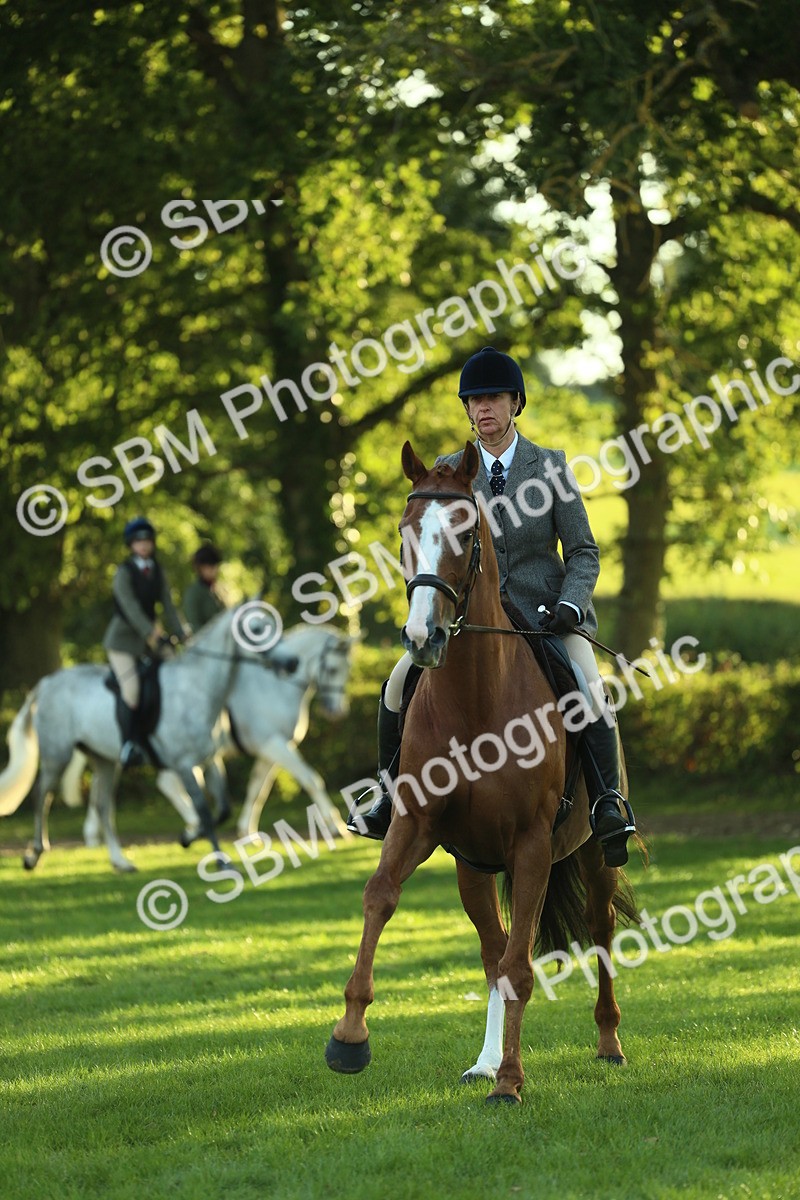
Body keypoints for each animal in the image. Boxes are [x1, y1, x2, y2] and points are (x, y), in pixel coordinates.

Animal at [0, 607, 287, 872]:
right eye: (256, 629)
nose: (289, 663)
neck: (197, 689)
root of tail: (45, 684)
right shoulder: (184, 764)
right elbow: (204, 812)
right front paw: (220, 861)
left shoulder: (208, 761)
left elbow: (223, 809)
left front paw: (188, 838)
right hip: (57, 755)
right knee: (42, 795)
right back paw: (33, 855)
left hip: (104, 760)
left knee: (102, 805)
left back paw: (120, 862)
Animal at [66, 626, 356, 847]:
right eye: (332, 669)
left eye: (347, 669)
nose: (337, 712)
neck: (275, 686)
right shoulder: (272, 743)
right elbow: (311, 779)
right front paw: (335, 826)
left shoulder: (271, 748)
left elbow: (257, 789)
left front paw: (247, 831)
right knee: (162, 785)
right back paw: (193, 824)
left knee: (105, 788)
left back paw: (94, 836)